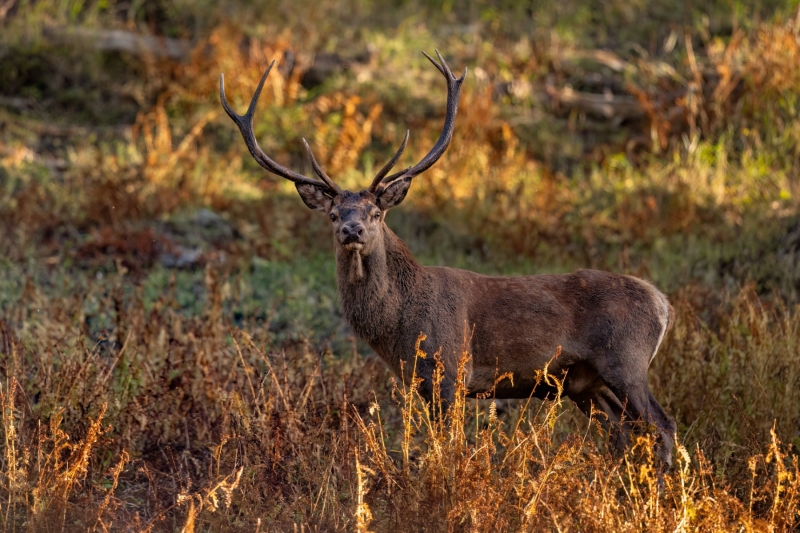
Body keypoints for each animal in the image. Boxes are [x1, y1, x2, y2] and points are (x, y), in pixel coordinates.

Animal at [220, 50, 678, 466]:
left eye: (375, 212)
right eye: (333, 215)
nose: (352, 230)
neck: (398, 329)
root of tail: (663, 304)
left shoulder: (453, 370)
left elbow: (450, 448)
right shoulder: (419, 384)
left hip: (627, 360)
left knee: (662, 425)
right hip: (587, 384)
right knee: (624, 433)